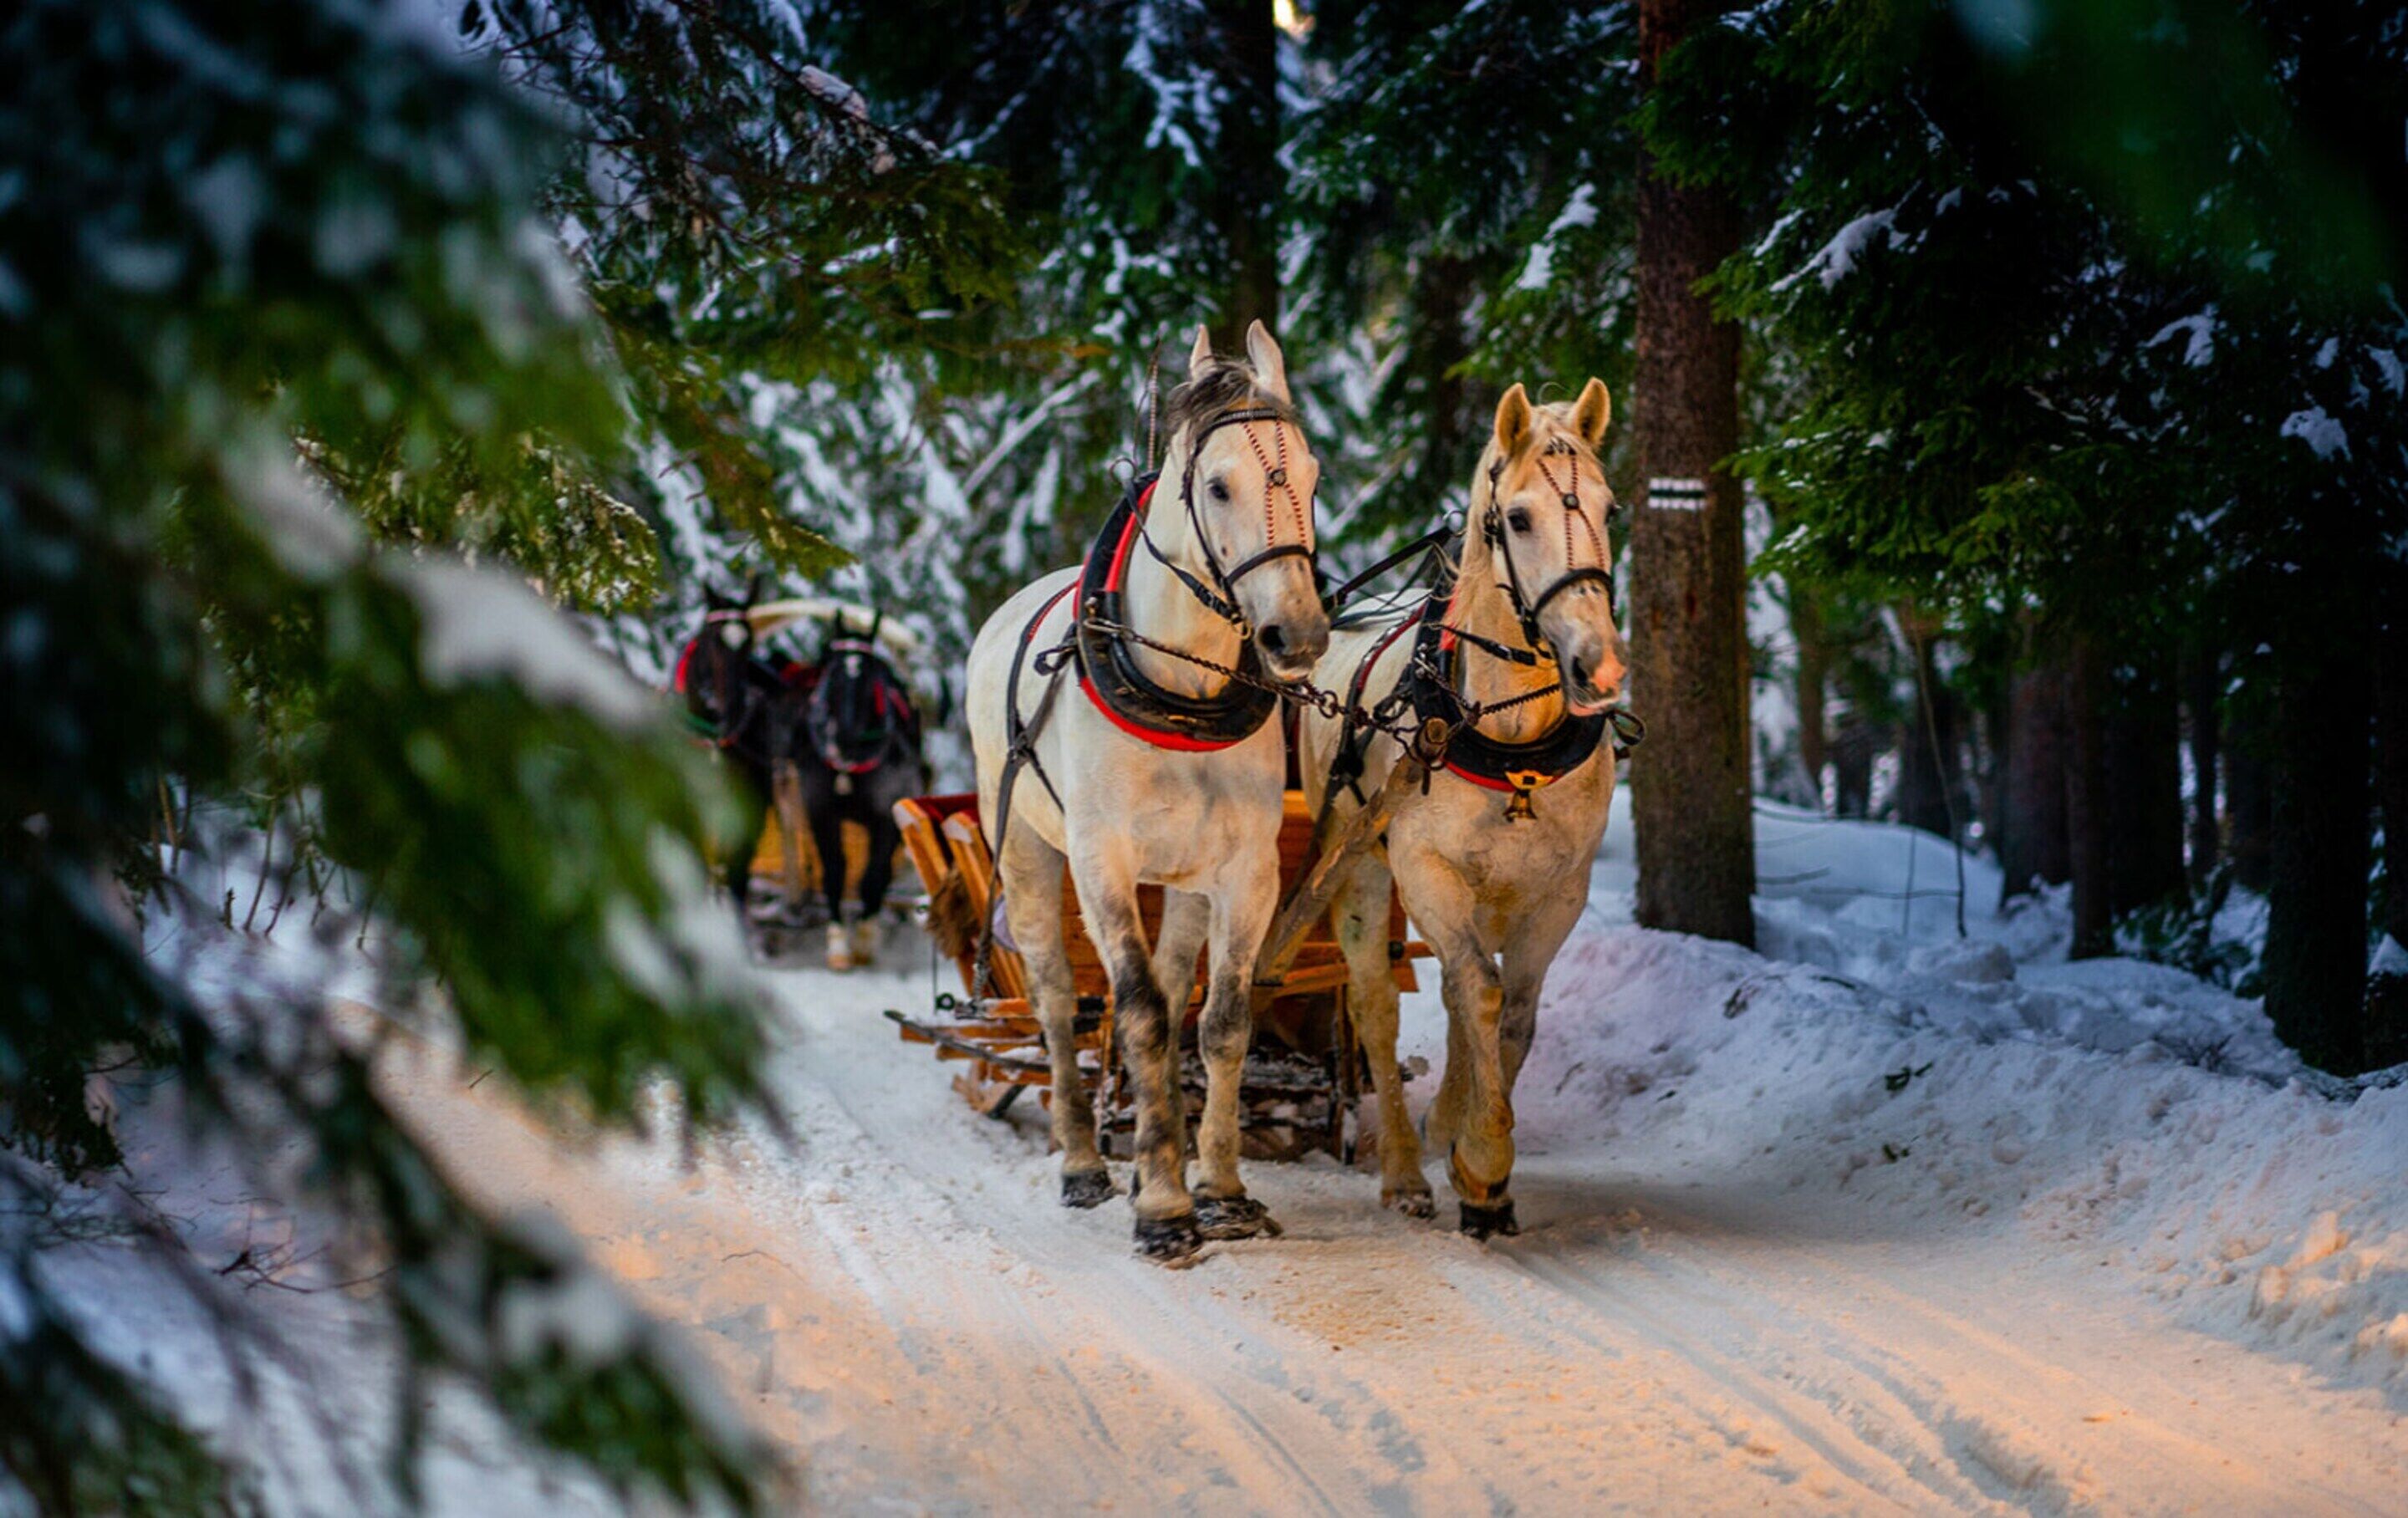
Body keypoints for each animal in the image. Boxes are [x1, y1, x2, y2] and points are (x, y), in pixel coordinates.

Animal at [796, 618, 929, 970]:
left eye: (870, 676)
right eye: (832, 673)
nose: (845, 735)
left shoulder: (886, 819)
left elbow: (873, 878)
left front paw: (864, 943)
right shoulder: (822, 815)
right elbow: (834, 873)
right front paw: (838, 945)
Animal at [964, 322, 1330, 1263]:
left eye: (1312, 475)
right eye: (1218, 484)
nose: (1299, 634)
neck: (1179, 692)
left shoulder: (1245, 874)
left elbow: (1219, 1021)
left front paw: (1220, 1189)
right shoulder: (1103, 864)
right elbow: (1134, 1013)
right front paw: (1163, 1206)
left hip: (1184, 882)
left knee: (1172, 988)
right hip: (1027, 852)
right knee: (1061, 1000)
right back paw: (1086, 1162)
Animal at [1297, 380, 1626, 1238]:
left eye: (1610, 509)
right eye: (1518, 518)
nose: (1599, 667)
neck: (1511, 737)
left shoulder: (1558, 892)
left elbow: (1513, 1012)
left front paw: (1476, 1159)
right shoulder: (1428, 871)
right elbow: (1475, 991)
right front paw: (1479, 1157)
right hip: (1358, 870)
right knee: (1378, 1006)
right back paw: (1405, 1172)